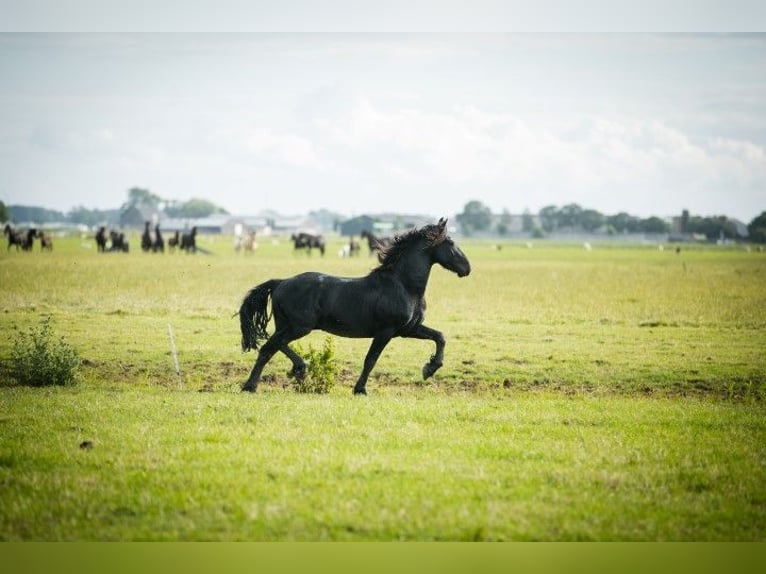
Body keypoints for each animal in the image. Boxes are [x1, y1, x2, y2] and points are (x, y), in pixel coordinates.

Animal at [240, 217, 472, 396]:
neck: (403, 286)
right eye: (450, 242)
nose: (467, 268)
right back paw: (290, 372)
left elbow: (439, 337)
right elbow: (371, 360)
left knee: (270, 348)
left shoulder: (408, 329)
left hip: (287, 325)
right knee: (271, 346)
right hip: (300, 327)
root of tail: (281, 282)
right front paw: (360, 389)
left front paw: (429, 369)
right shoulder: (386, 332)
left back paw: (258, 383)